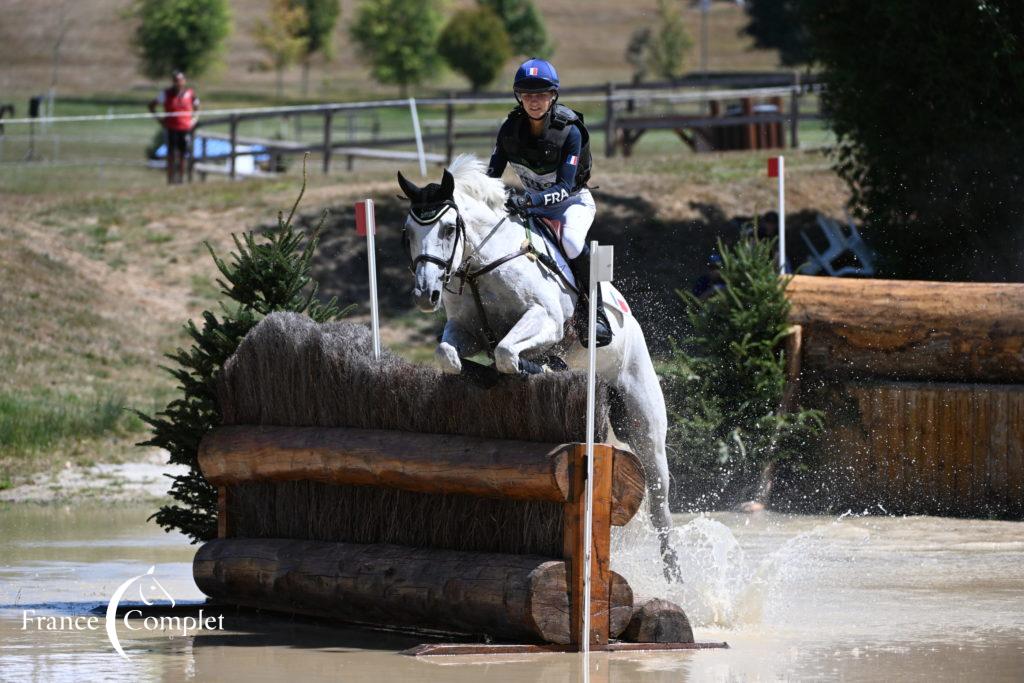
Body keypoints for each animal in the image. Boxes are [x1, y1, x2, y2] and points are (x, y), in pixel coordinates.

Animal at [397, 156, 679, 581]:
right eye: (407, 233)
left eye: (447, 228)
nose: (424, 295)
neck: (481, 266)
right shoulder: (465, 330)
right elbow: (450, 355)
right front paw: (486, 373)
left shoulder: (545, 320)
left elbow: (506, 351)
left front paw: (541, 368)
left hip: (642, 421)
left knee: (660, 501)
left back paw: (675, 574)